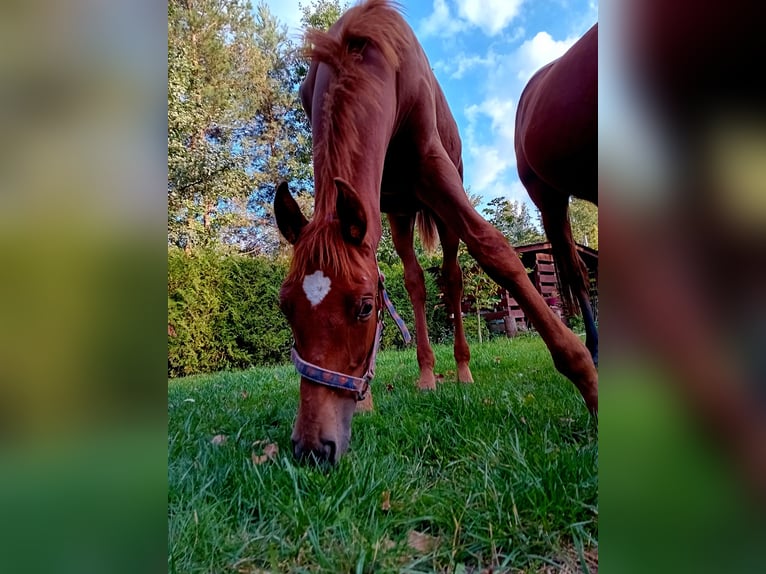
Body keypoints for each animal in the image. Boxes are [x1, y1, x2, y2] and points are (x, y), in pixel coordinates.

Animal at [274, 0, 600, 466]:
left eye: (365, 308)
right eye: (285, 307)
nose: (313, 447)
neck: (365, 51)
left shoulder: (434, 168)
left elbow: (496, 252)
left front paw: (587, 379)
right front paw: (367, 400)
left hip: (443, 214)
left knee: (452, 278)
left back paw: (462, 371)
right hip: (399, 214)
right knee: (416, 283)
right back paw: (428, 376)